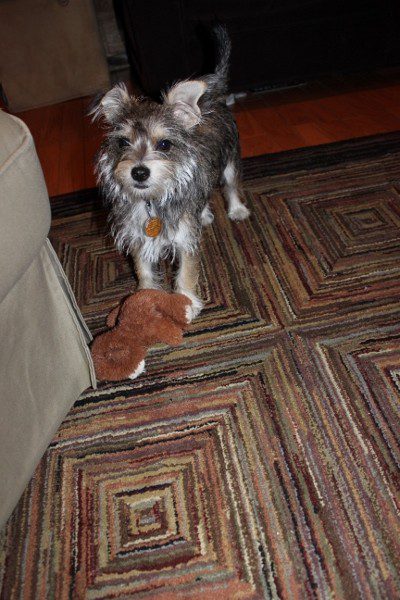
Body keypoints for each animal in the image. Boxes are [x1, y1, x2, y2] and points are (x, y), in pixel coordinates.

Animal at [93, 26, 250, 322]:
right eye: (123, 142)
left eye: (164, 144)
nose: (139, 172)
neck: (152, 201)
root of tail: (213, 94)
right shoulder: (137, 235)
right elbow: (142, 269)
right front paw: (142, 299)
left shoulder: (184, 238)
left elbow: (186, 272)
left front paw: (186, 303)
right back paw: (205, 214)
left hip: (230, 161)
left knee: (231, 186)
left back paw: (237, 210)